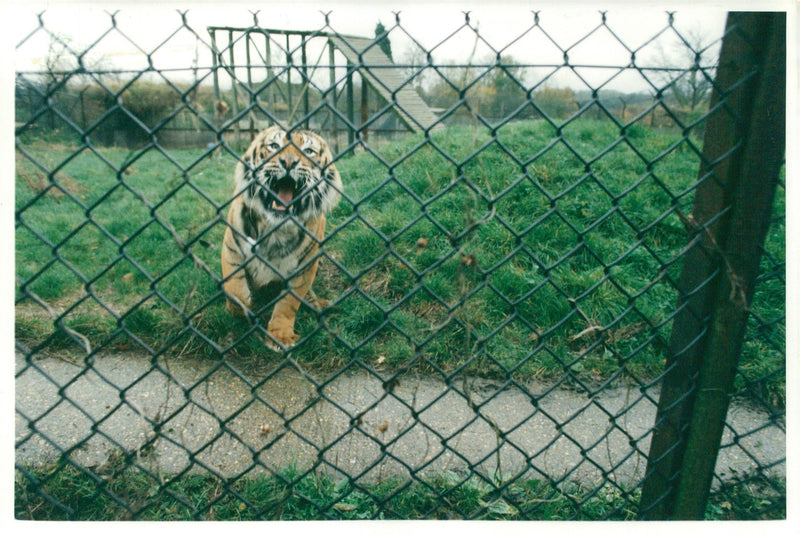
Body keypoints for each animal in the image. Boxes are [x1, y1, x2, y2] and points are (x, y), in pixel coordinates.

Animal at [220, 126, 342, 352]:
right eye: (274, 146)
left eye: (308, 151)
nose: (288, 162)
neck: (274, 228)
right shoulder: (232, 247)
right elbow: (235, 290)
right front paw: (242, 309)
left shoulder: (304, 266)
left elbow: (288, 303)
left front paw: (281, 336)